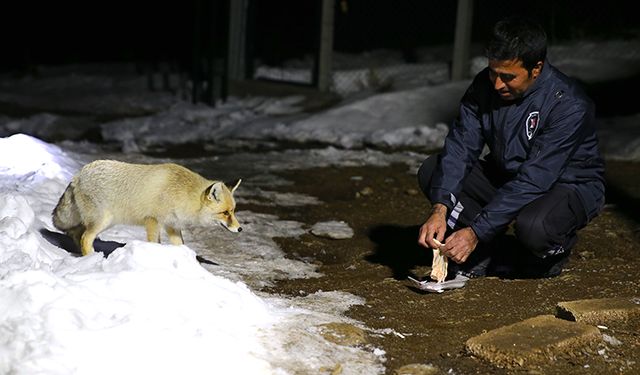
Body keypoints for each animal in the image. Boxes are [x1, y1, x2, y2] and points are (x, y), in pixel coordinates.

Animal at [52, 160, 242, 258]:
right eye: (225, 213)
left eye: (233, 211)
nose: (240, 229)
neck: (181, 193)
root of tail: (78, 174)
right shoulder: (153, 220)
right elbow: (154, 243)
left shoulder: (172, 225)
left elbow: (180, 245)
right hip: (103, 221)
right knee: (85, 238)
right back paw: (92, 258)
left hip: (102, 222)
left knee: (75, 234)